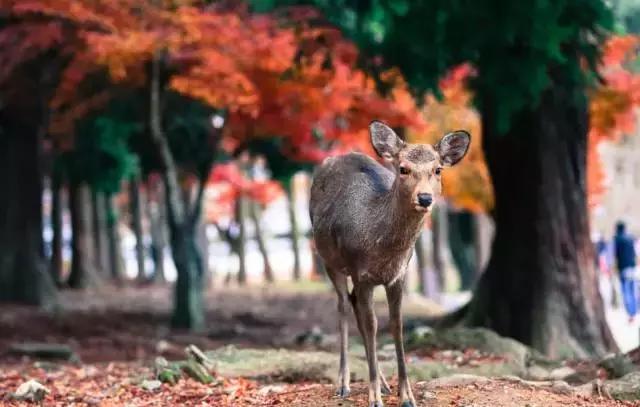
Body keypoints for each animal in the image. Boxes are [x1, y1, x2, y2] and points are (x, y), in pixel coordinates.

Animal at [310, 121, 470, 407]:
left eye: (438, 169)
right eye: (403, 168)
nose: (425, 198)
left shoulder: (398, 276)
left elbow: (396, 326)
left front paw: (406, 395)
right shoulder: (362, 273)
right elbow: (373, 326)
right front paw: (374, 397)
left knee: (353, 304)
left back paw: (384, 383)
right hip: (329, 260)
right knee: (343, 306)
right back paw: (344, 383)